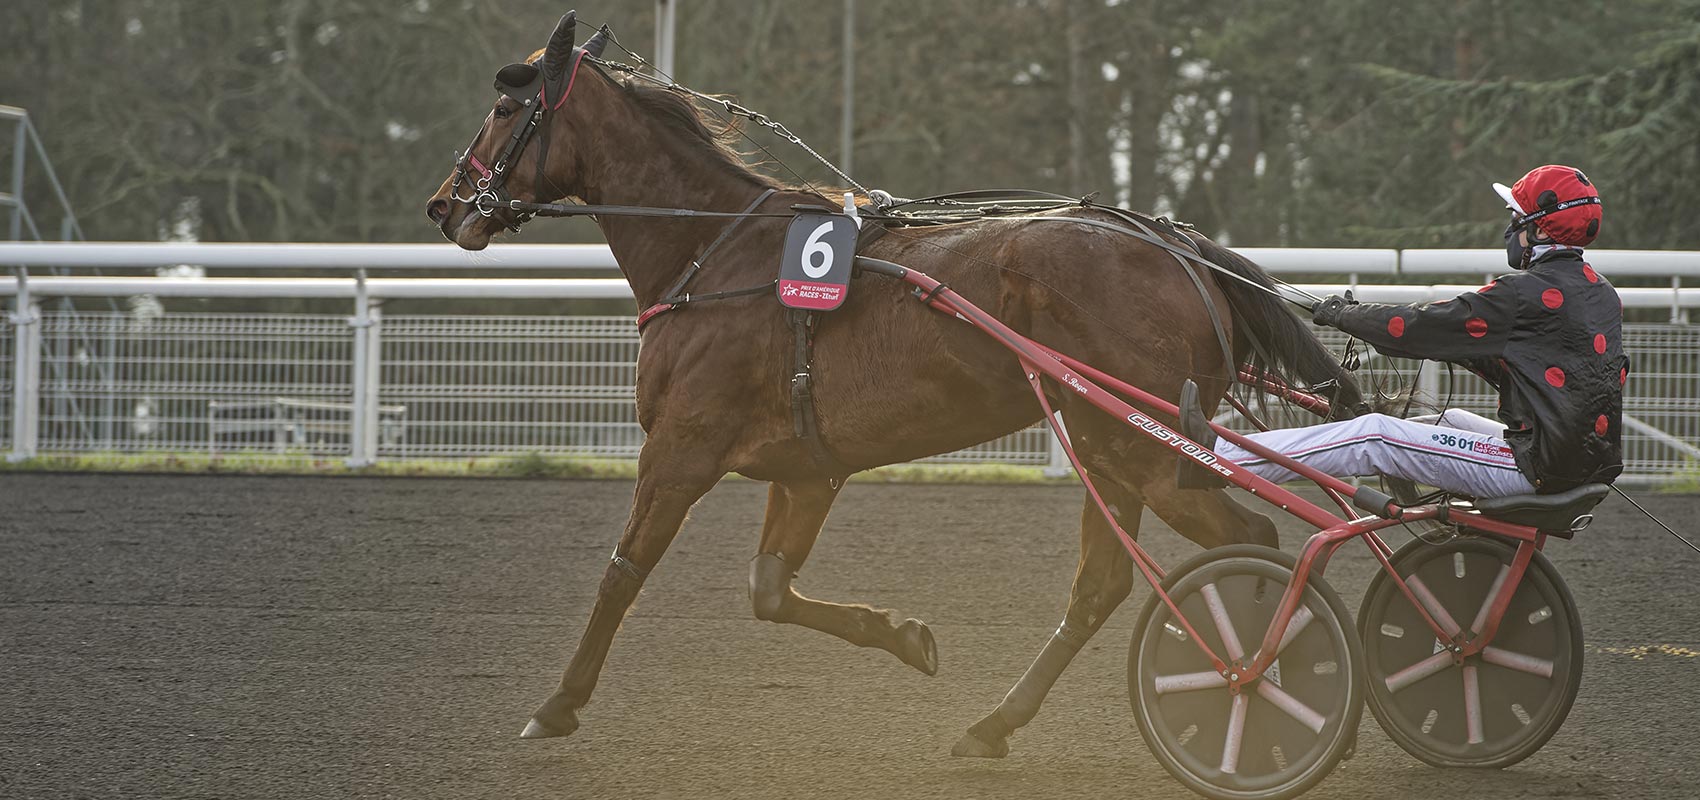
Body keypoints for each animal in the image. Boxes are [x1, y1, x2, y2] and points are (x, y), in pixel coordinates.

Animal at [431, 15, 1360, 760]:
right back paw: (993, 725)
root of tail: (1177, 247)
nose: (446, 204)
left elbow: (623, 573)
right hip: (1106, 445)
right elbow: (770, 592)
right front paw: (907, 637)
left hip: (1144, 447)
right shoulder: (807, 466)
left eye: (507, 107)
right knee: (1102, 585)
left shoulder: (681, 449)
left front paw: (556, 705)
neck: (716, 255)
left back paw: (1259, 685)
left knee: (1252, 542)